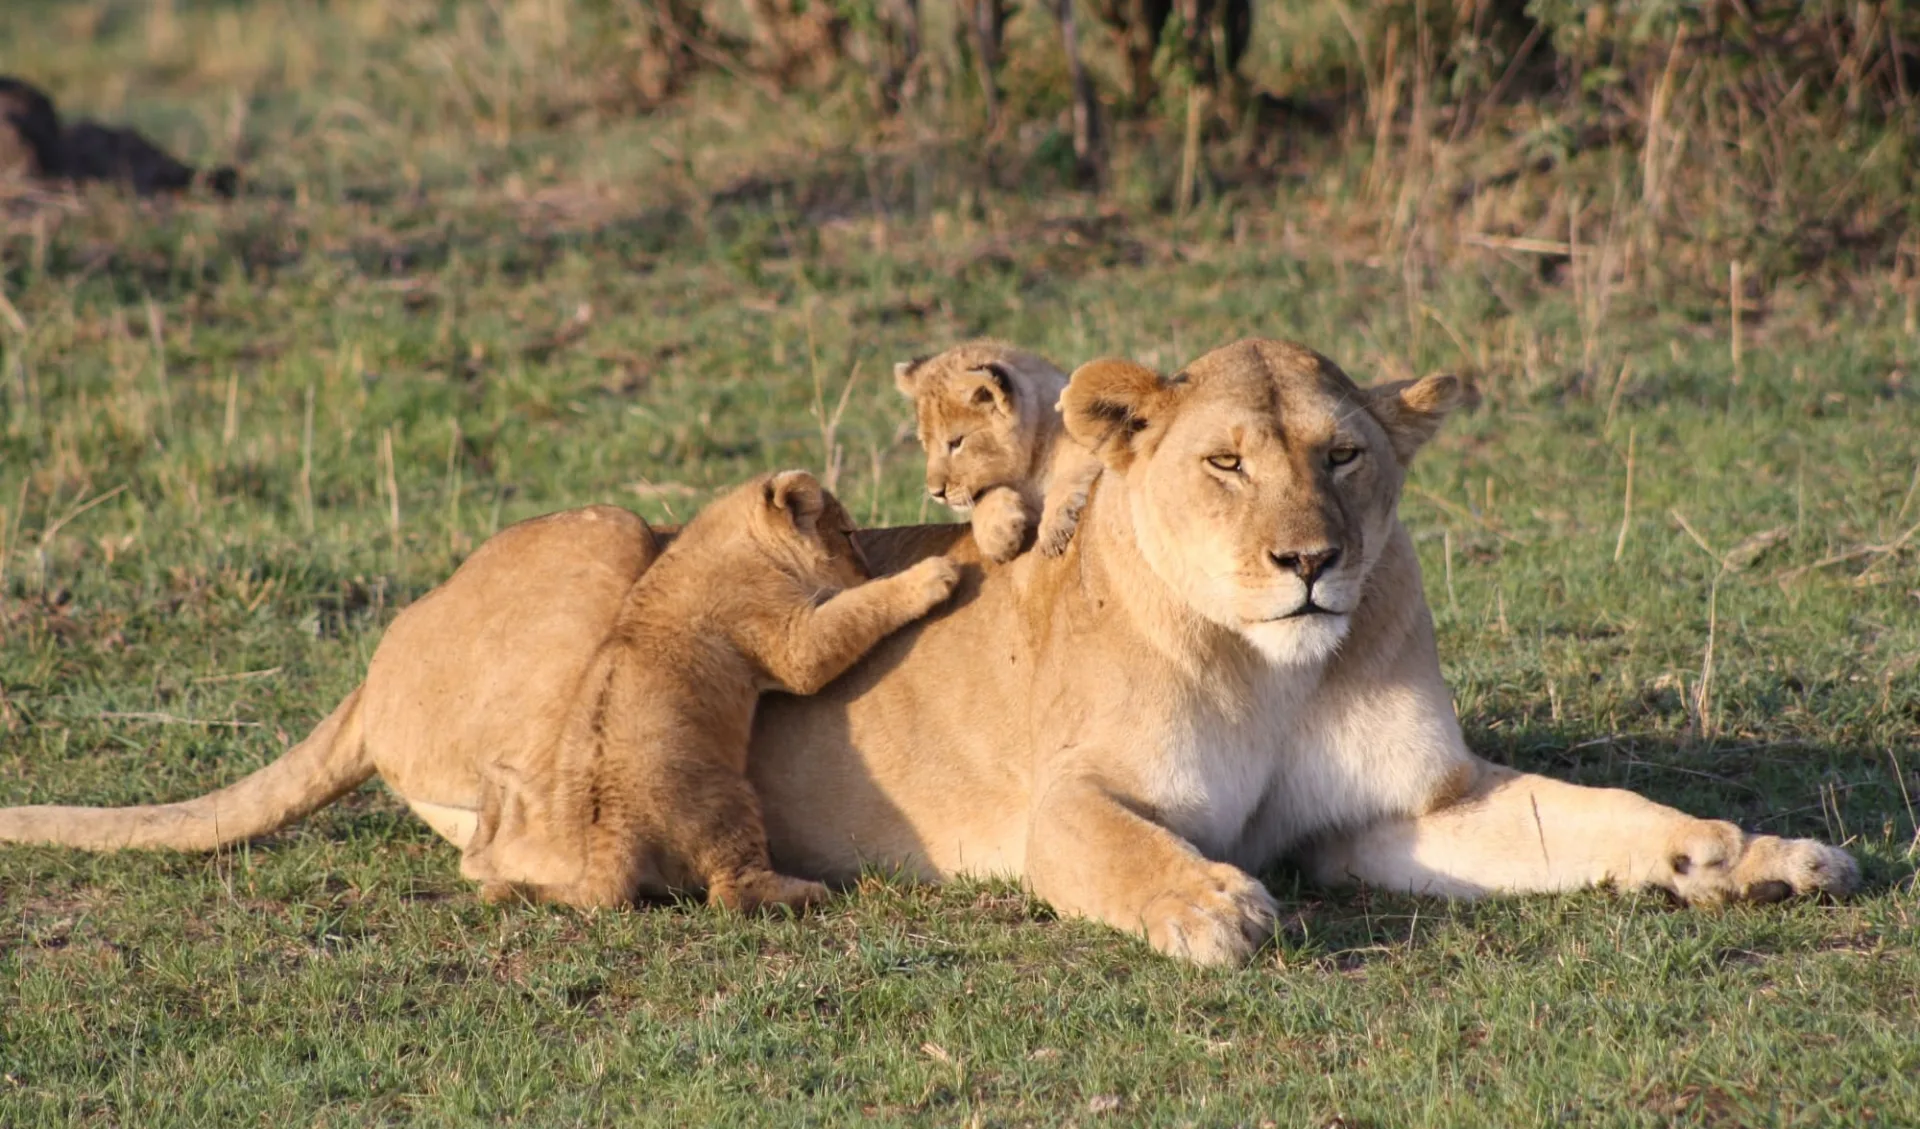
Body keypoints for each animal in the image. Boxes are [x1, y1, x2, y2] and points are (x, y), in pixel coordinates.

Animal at [459, 469, 960, 912]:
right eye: (848, 533)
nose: (870, 568)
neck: (729, 536)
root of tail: (610, 835)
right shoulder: (788, 641)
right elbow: (853, 613)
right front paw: (933, 575)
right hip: (728, 801)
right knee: (730, 895)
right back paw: (810, 891)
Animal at [894, 340, 1103, 561]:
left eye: (956, 442)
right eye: (925, 444)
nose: (936, 493)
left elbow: (1073, 471)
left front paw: (1054, 530)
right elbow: (982, 503)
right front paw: (997, 535)